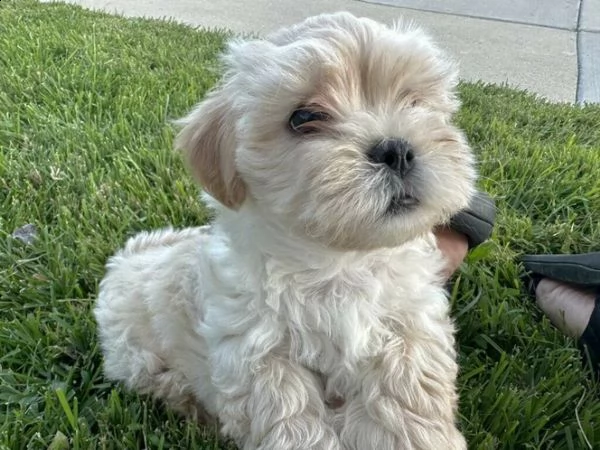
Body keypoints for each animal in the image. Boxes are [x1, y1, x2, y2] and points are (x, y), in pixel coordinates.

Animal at [96, 12, 476, 450]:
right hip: (134, 352)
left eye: (414, 101)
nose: (396, 149)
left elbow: (406, 395)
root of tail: (132, 253)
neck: (338, 261)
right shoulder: (256, 351)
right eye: (303, 118)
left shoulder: (410, 323)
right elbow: (289, 419)